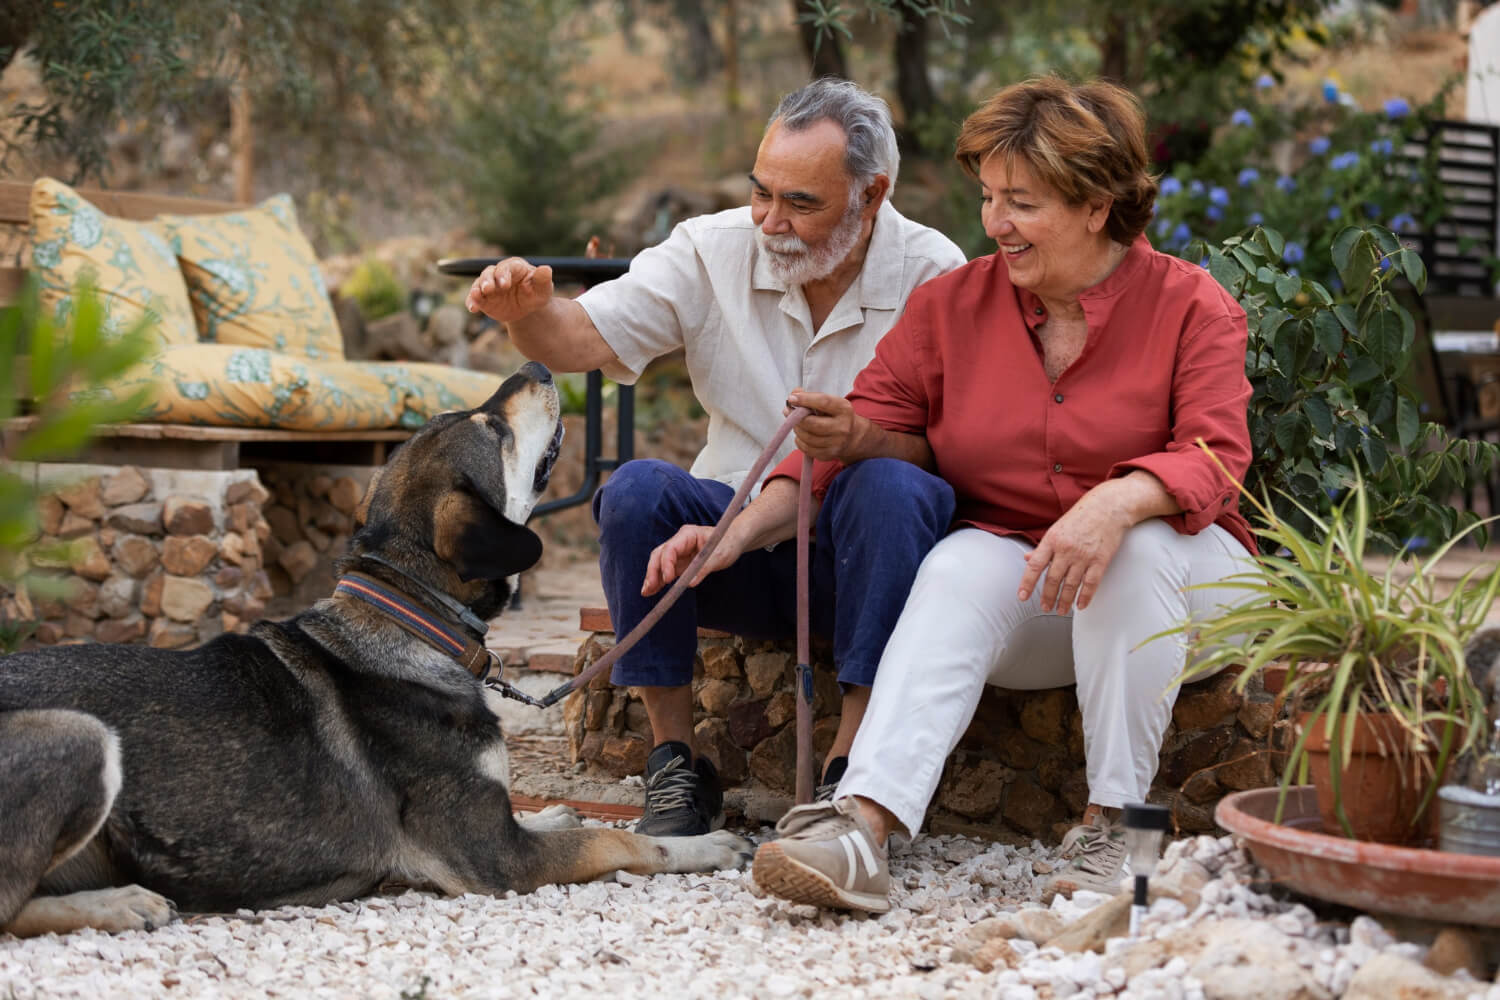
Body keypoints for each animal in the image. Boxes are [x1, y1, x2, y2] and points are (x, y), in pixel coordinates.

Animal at [0, 361, 750, 941]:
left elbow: (545, 814)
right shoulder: (496, 861)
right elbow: (619, 838)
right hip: (81, 735)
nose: (538, 367)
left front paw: (555, 808)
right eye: (494, 430)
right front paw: (703, 843)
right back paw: (119, 903)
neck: (412, 620)